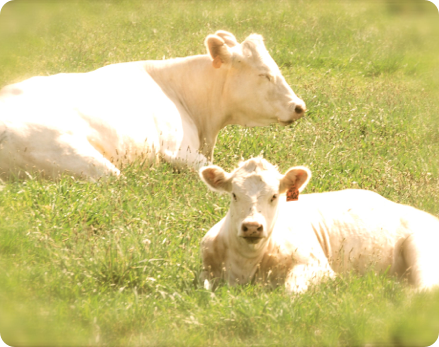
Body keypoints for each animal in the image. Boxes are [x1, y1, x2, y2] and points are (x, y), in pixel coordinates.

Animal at [199, 158, 439, 294]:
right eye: (234, 195)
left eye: (274, 196)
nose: (251, 227)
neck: (244, 265)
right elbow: (207, 290)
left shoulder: (320, 268)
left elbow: (291, 291)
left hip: (420, 247)